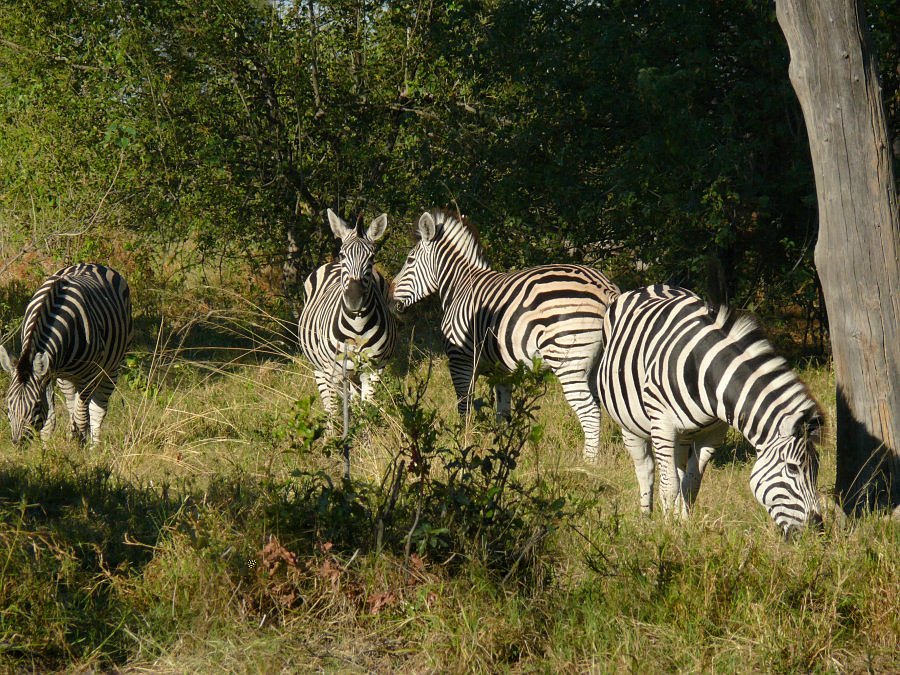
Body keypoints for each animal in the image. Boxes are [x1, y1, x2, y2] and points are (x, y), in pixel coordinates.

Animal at [0, 263, 133, 446]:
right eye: (8, 405)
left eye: (35, 407)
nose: (18, 443)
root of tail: (92, 264)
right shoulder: (49, 373)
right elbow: (50, 419)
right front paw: (46, 449)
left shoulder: (88, 377)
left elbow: (82, 416)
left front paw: (80, 447)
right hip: (66, 377)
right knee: (72, 405)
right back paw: (74, 434)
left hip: (111, 368)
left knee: (96, 411)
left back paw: (93, 447)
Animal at [297, 209, 397, 420]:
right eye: (343, 254)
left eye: (372, 257)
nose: (354, 299)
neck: (358, 326)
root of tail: (331, 264)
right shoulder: (334, 372)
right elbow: (339, 411)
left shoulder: (374, 369)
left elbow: (367, 408)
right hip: (320, 369)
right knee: (331, 408)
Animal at [388, 209, 620, 461]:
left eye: (410, 260)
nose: (389, 299)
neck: (461, 286)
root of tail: (606, 288)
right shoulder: (502, 370)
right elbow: (503, 414)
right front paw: (501, 451)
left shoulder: (460, 359)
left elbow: (464, 407)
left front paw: (463, 445)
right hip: (595, 365)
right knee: (598, 406)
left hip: (568, 361)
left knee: (590, 411)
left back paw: (588, 462)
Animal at [594, 284, 824, 537]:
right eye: (792, 468)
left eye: (817, 468)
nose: (817, 530)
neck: (704, 371)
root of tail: (653, 286)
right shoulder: (663, 425)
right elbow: (669, 484)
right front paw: (667, 533)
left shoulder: (713, 433)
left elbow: (691, 483)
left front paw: (684, 526)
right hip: (630, 423)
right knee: (646, 469)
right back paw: (646, 518)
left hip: (683, 434)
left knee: (678, 469)